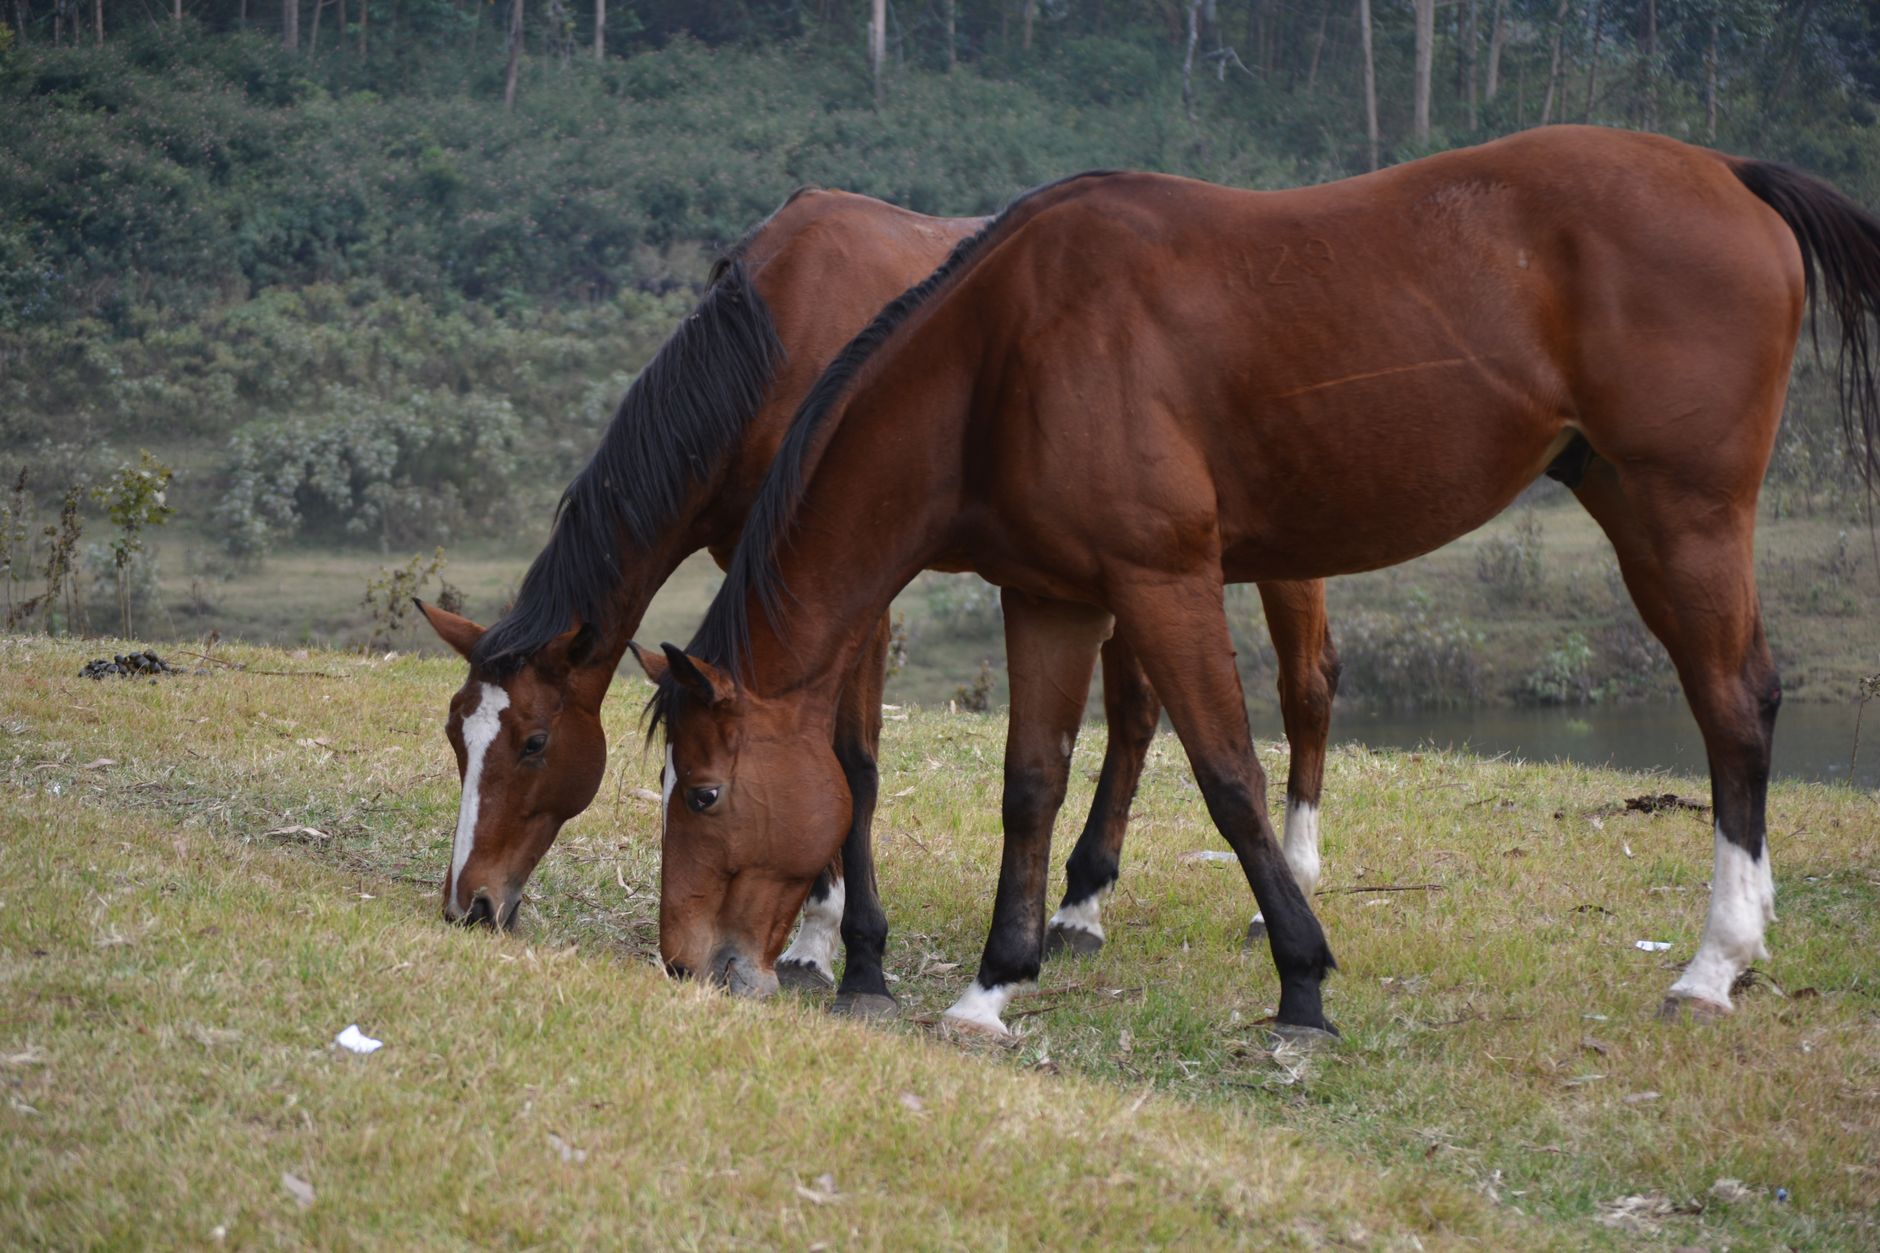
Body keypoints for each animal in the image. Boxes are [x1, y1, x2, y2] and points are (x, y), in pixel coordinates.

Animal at [414, 187, 1343, 1012]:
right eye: (459, 738)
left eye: (533, 744)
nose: (471, 903)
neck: (778, 343)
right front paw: (814, 933)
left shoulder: (856, 585)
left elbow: (852, 761)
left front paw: (849, 955)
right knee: (1136, 712)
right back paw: (1081, 905)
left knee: (1306, 688)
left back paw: (1286, 887)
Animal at [640, 126, 1880, 1038]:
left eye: (701, 792)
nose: (683, 963)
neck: (1010, 349)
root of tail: (1726, 173)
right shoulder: (1050, 597)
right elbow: (1030, 781)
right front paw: (991, 984)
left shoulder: (1163, 582)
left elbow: (1228, 773)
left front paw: (1301, 980)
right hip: (1629, 498)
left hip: (1683, 515)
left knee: (1730, 705)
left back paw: (1712, 963)